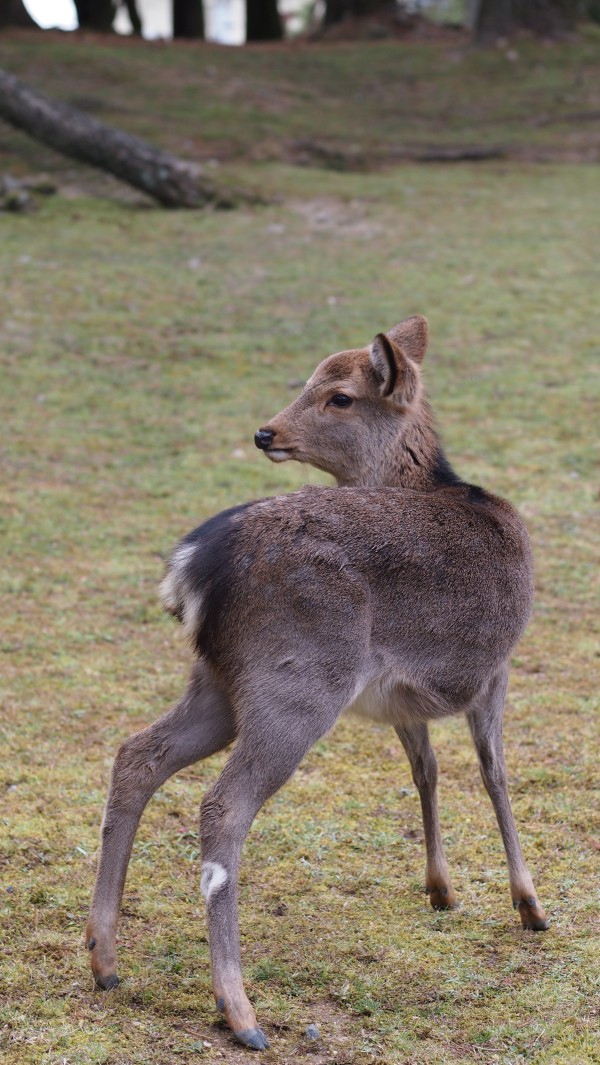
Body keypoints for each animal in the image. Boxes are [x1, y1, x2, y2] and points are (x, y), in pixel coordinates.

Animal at [86, 313, 549, 1047]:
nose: (265, 432)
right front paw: (530, 904)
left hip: (218, 679)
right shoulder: (495, 666)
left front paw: (441, 888)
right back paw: (239, 1009)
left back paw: (104, 958)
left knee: (137, 754)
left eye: (338, 395)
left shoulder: (401, 697)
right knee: (222, 805)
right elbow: (494, 773)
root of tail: (195, 565)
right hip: (300, 683)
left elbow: (428, 771)